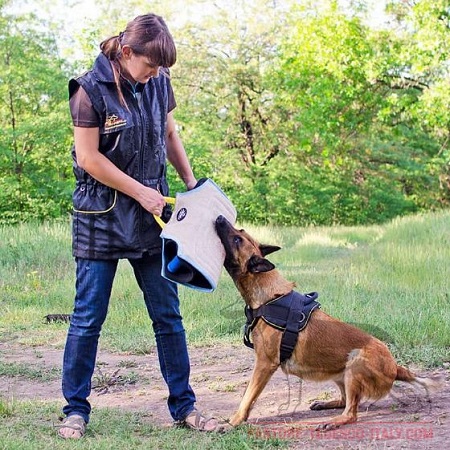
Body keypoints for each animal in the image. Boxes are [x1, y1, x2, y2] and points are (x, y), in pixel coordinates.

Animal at [214, 216, 440, 430]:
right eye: (240, 231)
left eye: (237, 239)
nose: (219, 218)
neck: (269, 297)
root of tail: (395, 367)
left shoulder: (264, 364)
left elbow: (247, 397)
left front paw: (233, 422)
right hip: (341, 374)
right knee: (345, 400)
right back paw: (326, 405)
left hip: (355, 363)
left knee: (351, 412)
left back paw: (333, 421)